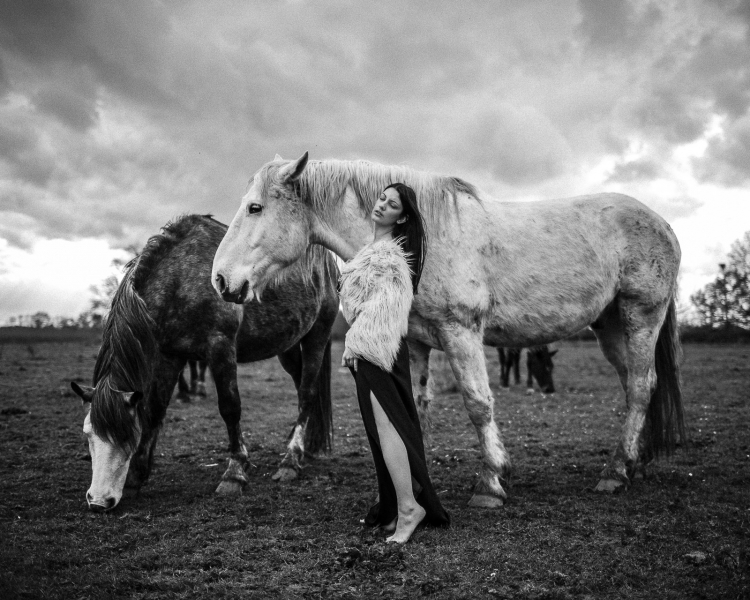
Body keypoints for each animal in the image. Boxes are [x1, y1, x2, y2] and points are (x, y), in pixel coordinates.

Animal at [70, 216, 340, 510]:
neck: (180, 279)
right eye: (88, 434)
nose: (98, 501)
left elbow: (230, 408)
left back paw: (291, 460)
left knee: (307, 393)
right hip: (288, 346)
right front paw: (137, 476)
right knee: (303, 386)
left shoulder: (220, 348)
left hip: (317, 335)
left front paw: (235, 473)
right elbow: (154, 410)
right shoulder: (170, 355)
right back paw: (305, 446)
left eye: (126, 434)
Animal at [212, 151, 688, 506]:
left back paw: (615, 472)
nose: (220, 280)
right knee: (634, 384)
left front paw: (491, 482)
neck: (427, 237)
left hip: (640, 315)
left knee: (641, 385)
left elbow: (479, 404)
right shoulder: (416, 340)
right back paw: (634, 461)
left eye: (255, 207)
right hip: (609, 326)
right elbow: (415, 408)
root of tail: (662, 224)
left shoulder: (461, 333)